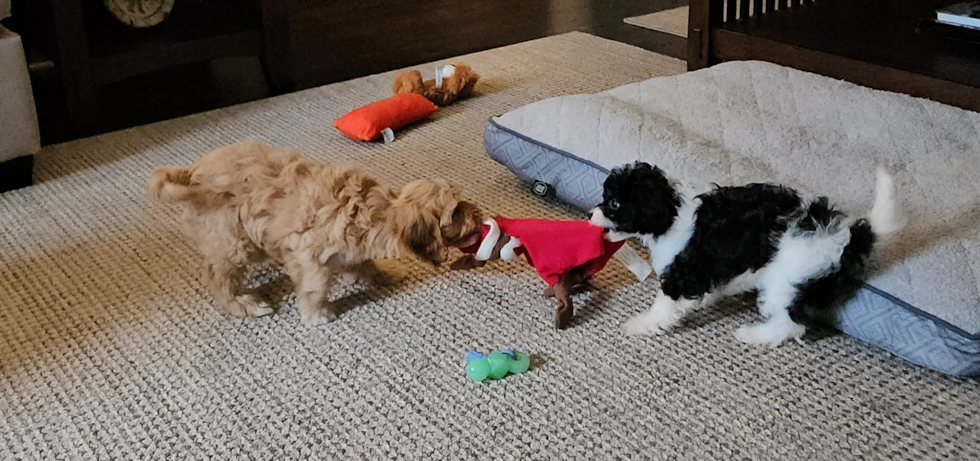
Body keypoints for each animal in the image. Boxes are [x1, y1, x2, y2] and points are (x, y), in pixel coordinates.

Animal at [588, 163, 904, 344]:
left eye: (614, 203)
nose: (590, 214)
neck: (672, 210)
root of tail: (846, 234)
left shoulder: (681, 270)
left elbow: (663, 305)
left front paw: (641, 324)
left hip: (786, 281)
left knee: (790, 324)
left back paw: (753, 335)